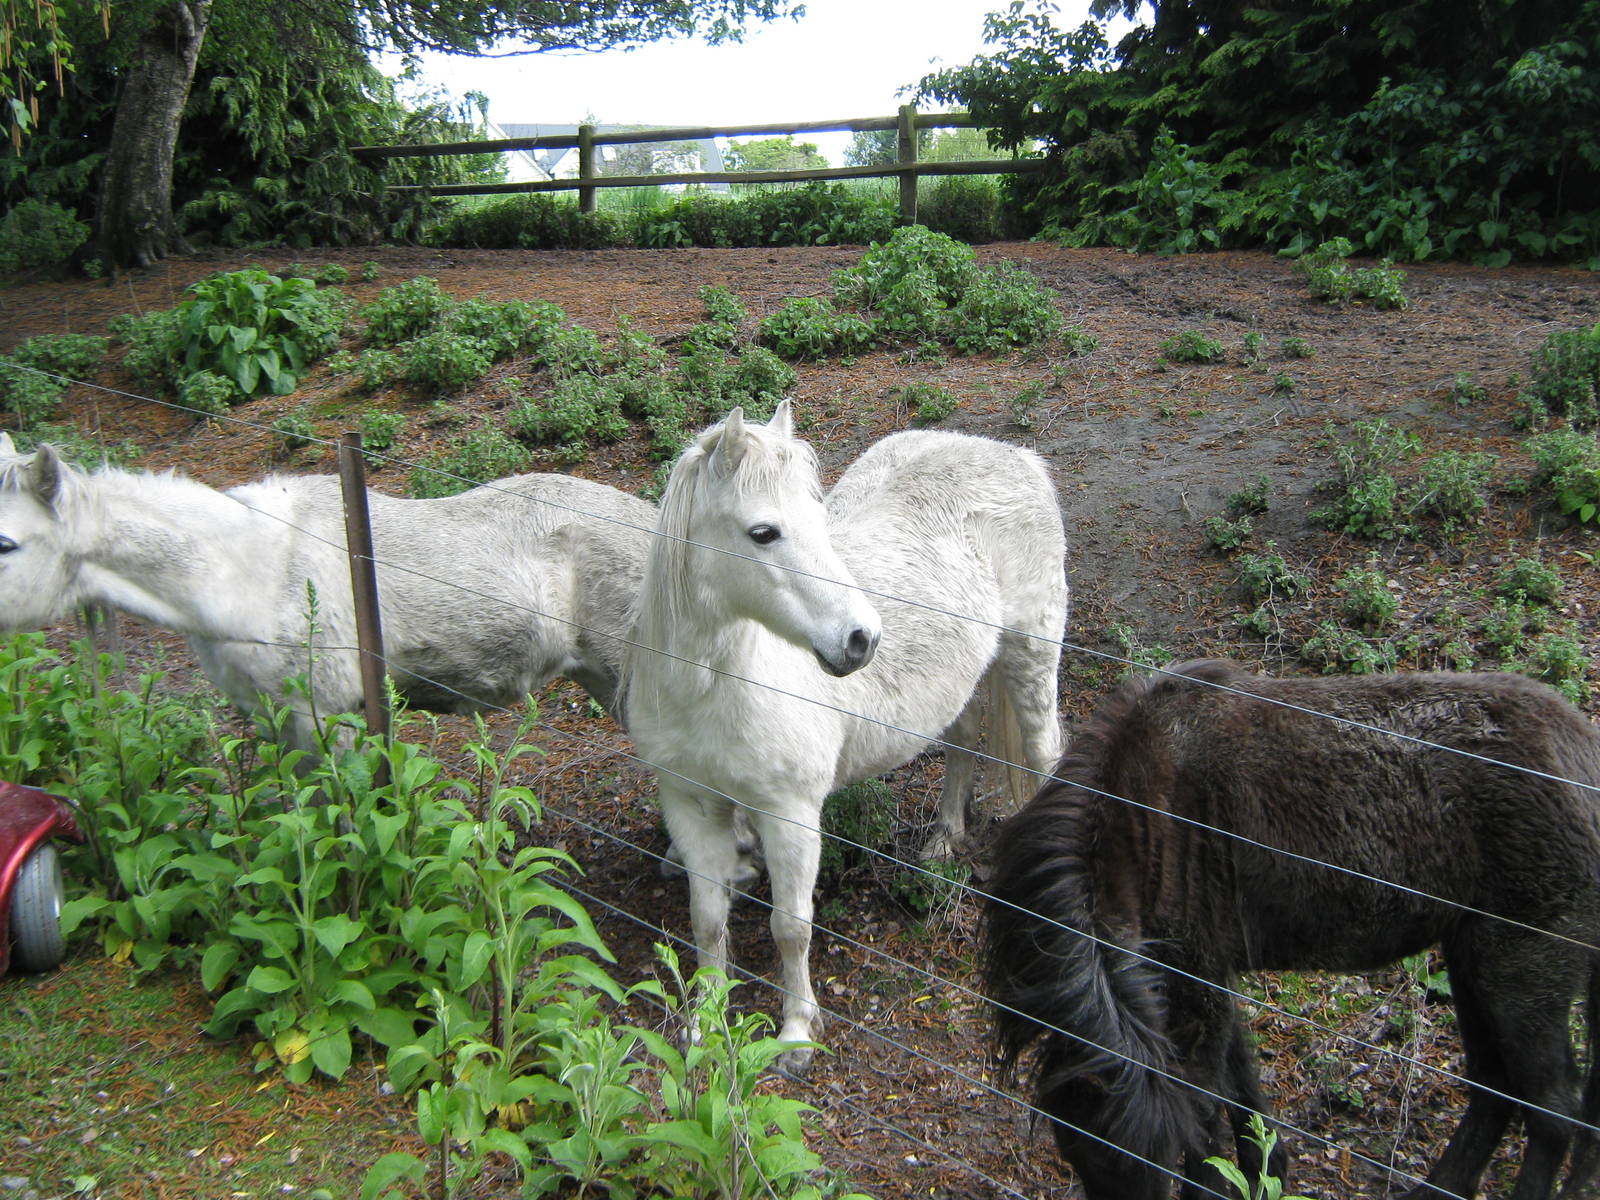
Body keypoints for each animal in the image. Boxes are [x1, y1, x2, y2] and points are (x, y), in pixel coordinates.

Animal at [622, 399, 1069, 1071]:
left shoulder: (790, 815)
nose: (862, 640)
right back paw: (942, 841)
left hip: (1031, 661)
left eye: (816, 517)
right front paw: (704, 1025)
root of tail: (1018, 457)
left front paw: (794, 1036)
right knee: (963, 742)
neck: (719, 681)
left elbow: (791, 927)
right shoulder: (691, 806)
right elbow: (706, 920)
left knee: (1045, 757)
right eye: (763, 532)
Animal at [985, 658, 1600, 1200]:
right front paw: (1264, 1169)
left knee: (1553, 1112)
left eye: (1145, 1156)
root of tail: (1582, 754)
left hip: (1520, 977)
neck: (1140, 816)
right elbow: (1239, 1086)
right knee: (1495, 1094)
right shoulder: (1202, 976)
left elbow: (1204, 1107)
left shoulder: (1194, 982)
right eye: (1082, 1153)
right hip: (1473, 966)